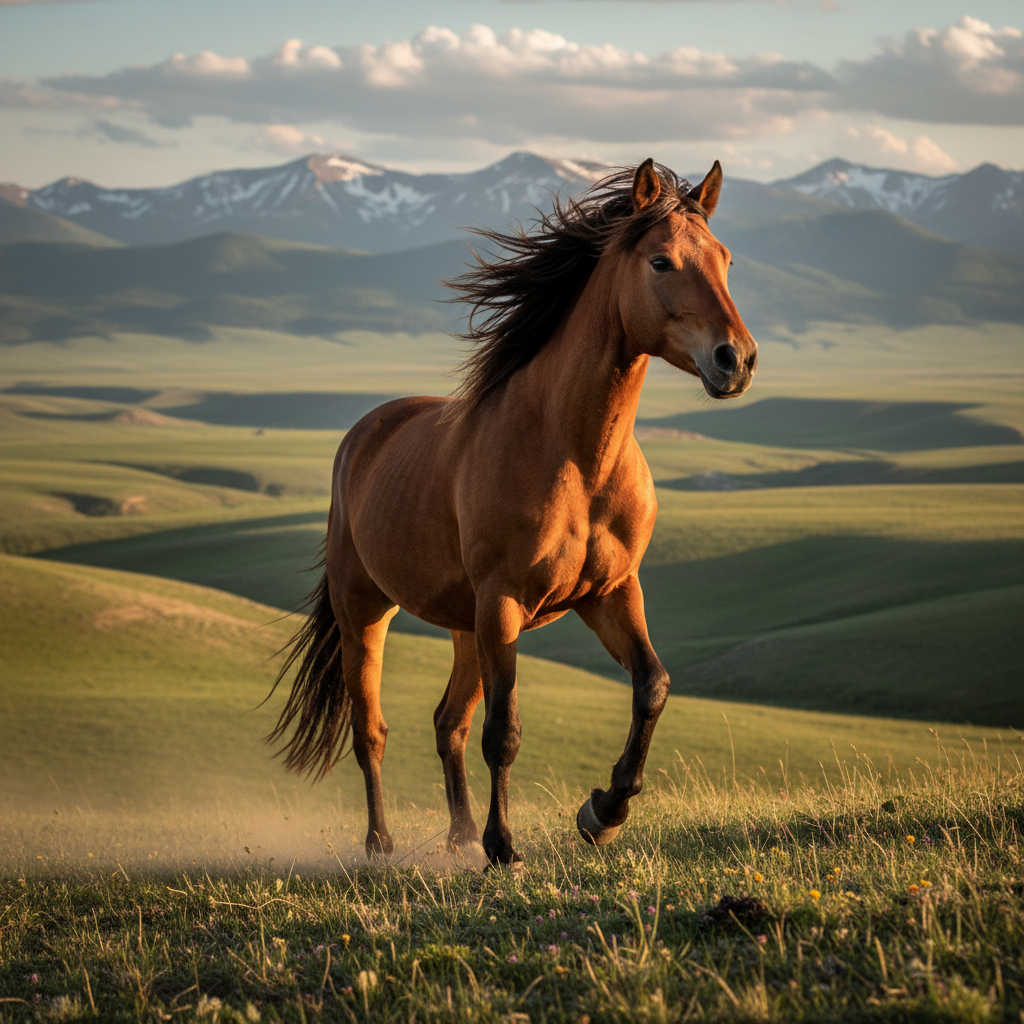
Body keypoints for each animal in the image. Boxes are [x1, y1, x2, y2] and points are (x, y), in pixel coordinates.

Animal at [268, 158, 757, 868]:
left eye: (725, 259)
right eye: (661, 261)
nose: (736, 360)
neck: (575, 455)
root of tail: (365, 432)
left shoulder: (610, 593)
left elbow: (652, 686)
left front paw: (602, 813)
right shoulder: (502, 601)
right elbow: (504, 731)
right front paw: (505, 846)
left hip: (464, 625)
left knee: (447, 722)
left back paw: (460, 836)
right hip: (368, 610)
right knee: (371, 731)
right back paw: (384, 844)